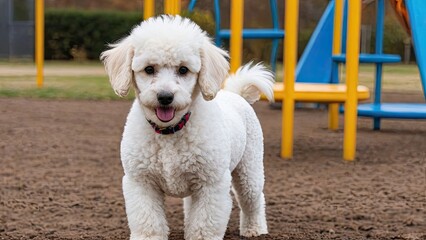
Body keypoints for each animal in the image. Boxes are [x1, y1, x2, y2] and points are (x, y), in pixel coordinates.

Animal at [101, 15, 274, 240]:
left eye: (183, 69)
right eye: (149, 69)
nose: (165, 96)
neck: (170, 132)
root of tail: (237, 94)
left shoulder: (211, 184)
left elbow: (204, 225)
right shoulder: (141, 182)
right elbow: (148, 222)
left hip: (249, 172)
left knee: (254, 200)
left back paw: (255, 229)